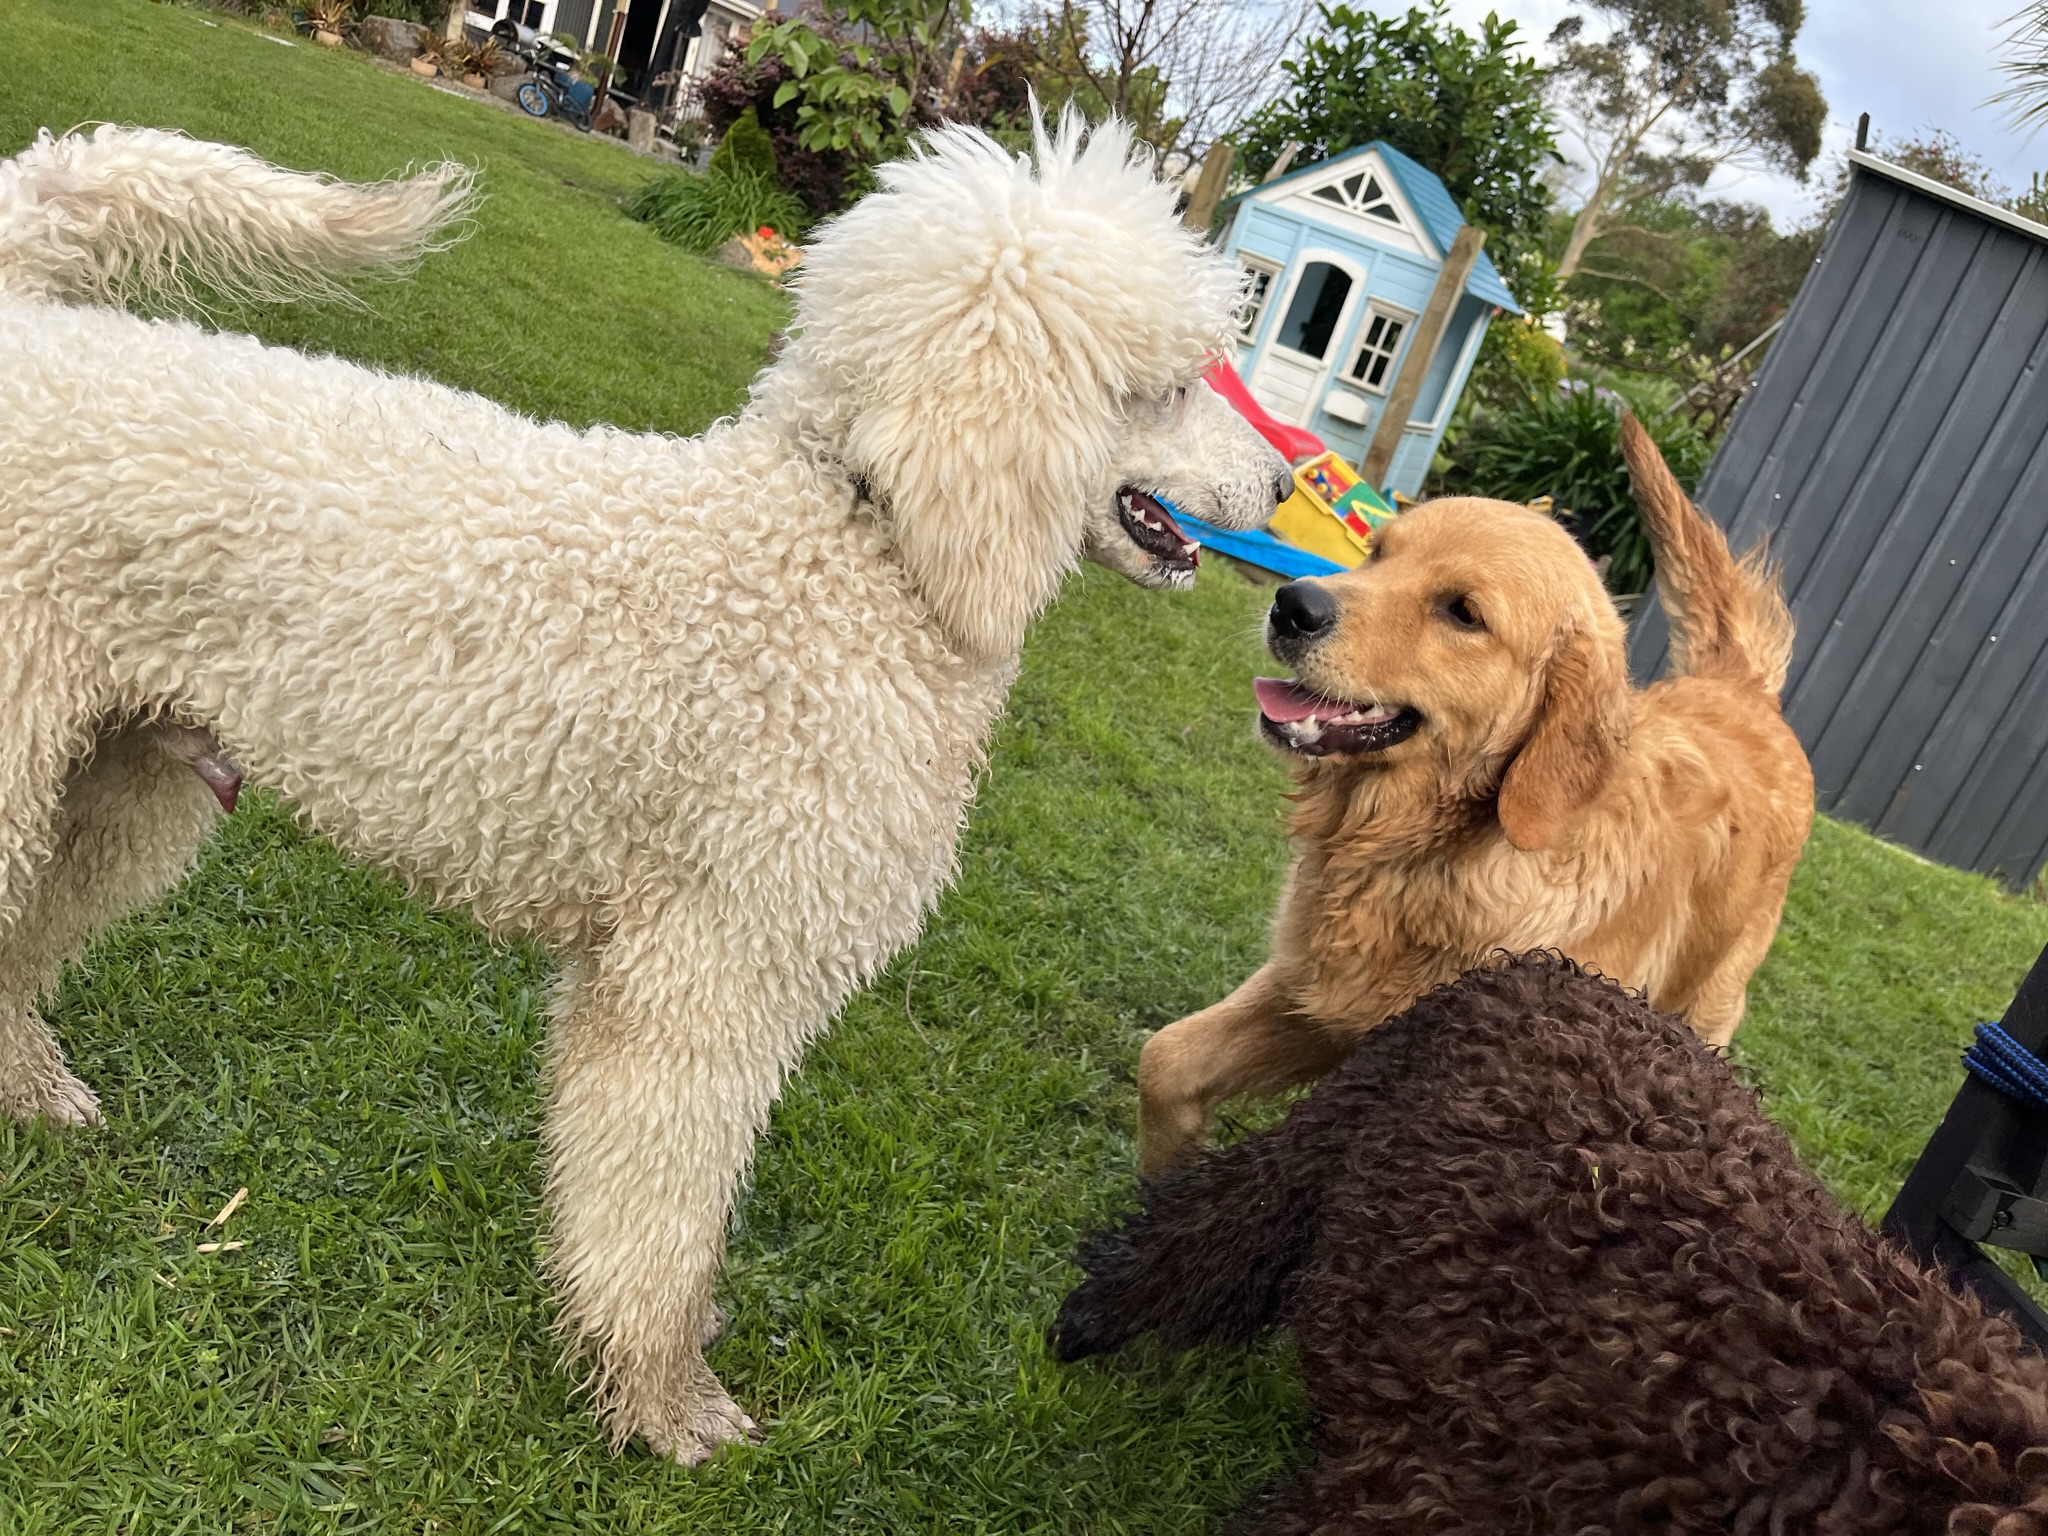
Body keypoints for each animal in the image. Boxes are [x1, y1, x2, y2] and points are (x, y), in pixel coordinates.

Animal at [0, 126, 1277, 1458]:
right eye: (1174, 385)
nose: (1287, 491)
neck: (857, 550)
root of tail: (28, 317)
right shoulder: (702, 978)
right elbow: (662, 1207)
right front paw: (664, 1400)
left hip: (116, 772)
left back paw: (32, 1088)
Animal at [1146, 415, 1818, 1171]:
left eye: (1464, 613)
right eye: (1377, 553)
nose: (1293, 604)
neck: (1423, 857)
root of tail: (1743, 691)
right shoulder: (1311, 996)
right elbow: (1164, 1057)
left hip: (1708, 1004)